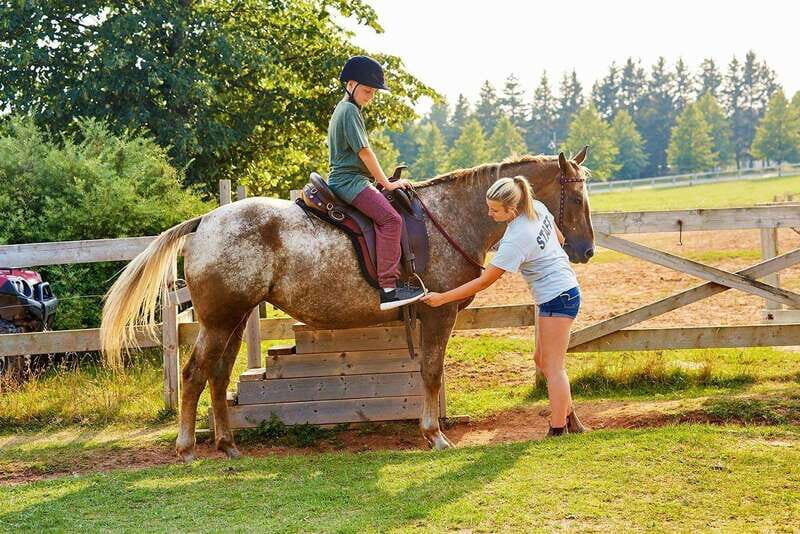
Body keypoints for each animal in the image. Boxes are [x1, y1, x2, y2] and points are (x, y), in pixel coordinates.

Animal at [100, 148, 594, 462]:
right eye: (574, 196)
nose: (586, 249)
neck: (449, 216)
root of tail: (205, 221)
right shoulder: (438, 314)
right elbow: (431, 371)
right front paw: (433, 435)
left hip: (234, 319)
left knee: (218, 376)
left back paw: (228, 445)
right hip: (221, 320)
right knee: (193, 374)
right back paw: (186, 448)